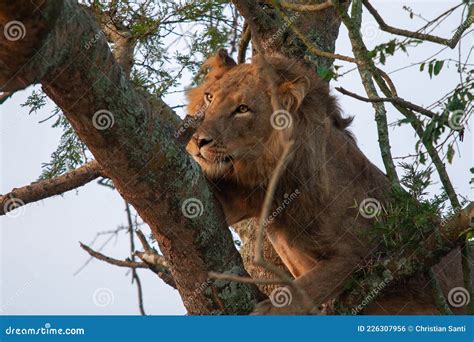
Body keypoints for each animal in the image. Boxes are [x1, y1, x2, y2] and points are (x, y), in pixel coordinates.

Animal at [185, 48, 470, 316]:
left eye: (242, 109)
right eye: (209, 97)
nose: (199, 141)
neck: (281, 176)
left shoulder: (363, 252)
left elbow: (306, 288)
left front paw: (268, 311)